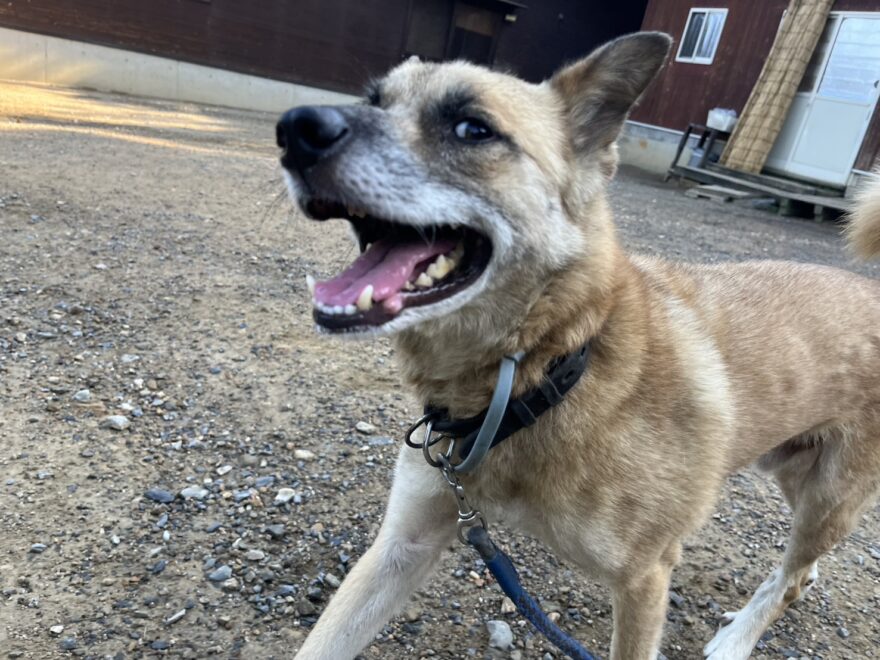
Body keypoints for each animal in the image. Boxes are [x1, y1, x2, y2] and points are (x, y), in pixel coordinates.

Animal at [275, 31, 880, 659]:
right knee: (804, 571)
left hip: (827, 503)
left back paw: (736, 641)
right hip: (792, 472)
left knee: (794, 576)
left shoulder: (644, 577)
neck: (542, 376)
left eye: (473, 128)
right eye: (373, 100)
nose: (295, 128)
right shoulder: (405, 542)